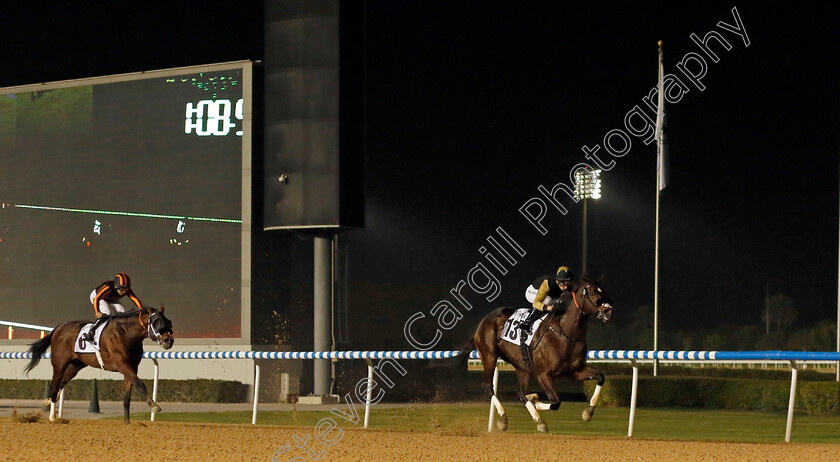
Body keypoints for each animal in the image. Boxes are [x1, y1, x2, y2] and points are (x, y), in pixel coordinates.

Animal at [24, 306, 174, 422]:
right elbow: (140, 384)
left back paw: (50, 403)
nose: (169, 340)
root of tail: (58, 328)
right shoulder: (122, 365)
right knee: (54, 385)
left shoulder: (132, 368)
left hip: (76, 365)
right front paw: (155, 406)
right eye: (157, 322)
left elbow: (127, 397)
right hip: (59, 363)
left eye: (168, 322)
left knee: (61, 383)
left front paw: (127, 422)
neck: (127, 334)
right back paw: (52, 417)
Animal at [462, 278, 612, 434]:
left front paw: (588, 412)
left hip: (522, 367)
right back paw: (504, 418)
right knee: (488, 387)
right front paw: (538, 403)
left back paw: (537, 416)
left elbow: (600, 377)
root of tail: (486, 318)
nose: (608, 310)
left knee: (521, 392)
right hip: (489, 355)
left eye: (603, 291)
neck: (566, 333)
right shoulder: (543, 374)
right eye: (592, 293)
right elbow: (556, 401)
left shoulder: (574, 371)